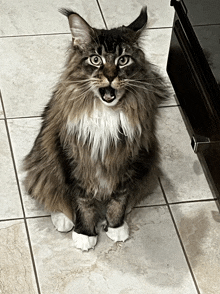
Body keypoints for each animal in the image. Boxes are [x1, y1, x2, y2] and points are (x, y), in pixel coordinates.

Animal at [23, 6, 169, 250]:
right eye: (95, 59)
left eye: (123, 60)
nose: (110, 77)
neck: (106, 113)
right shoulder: (73, 157)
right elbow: (82, 201)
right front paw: (85, 233)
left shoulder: (128, 158)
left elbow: (120, 198)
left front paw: (116, 226)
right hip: (43, 160)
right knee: (50, 191)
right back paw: (64, 219)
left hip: (148, 164)